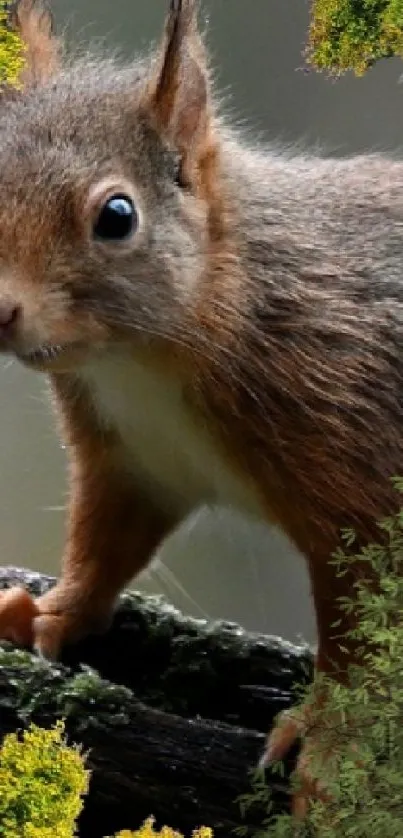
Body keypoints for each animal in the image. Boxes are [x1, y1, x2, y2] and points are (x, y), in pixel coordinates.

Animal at [0, 0, 403, 812]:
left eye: (117, 216)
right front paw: (52, 611)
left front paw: (332, 744)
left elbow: (359, 631)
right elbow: (105, 543)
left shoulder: (357, 462)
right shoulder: (132, 459)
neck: (141, 358)